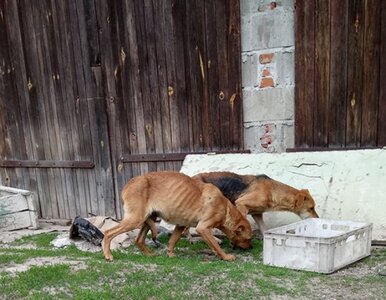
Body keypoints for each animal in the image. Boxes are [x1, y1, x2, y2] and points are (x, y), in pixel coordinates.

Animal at [102, 172, 253, 262]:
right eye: (248, 239)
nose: (251, 248)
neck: (225, 208)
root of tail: (127, 185)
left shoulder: (181, 225)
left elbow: (172, 241)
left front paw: (170, 254)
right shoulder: (203, 228)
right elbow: (215, 245)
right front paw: (225, 256)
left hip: (147, 219)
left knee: (139, 240)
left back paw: (149, 254)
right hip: (134, 220)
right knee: (108, 233)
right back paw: (108, 255)